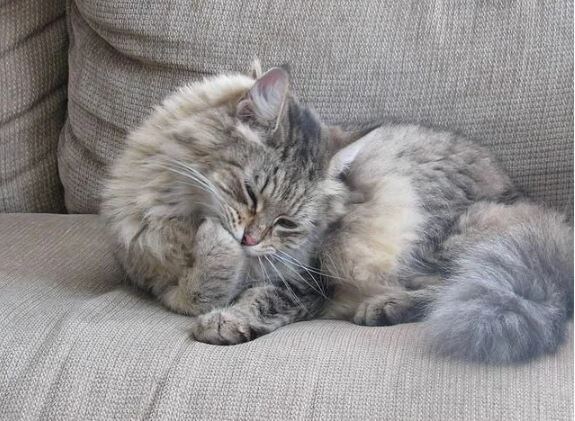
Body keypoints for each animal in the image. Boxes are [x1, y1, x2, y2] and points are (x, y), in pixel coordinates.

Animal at [101, 62, 573, 363]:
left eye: (287, 222)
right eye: (251, 194)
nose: (249, 240)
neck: (177, 214)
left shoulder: (308, 278)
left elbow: (253, 296)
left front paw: (226, 316)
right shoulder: (152, 278)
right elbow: (201, 288)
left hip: (439, 235)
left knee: (455, 286)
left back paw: (385, 307)